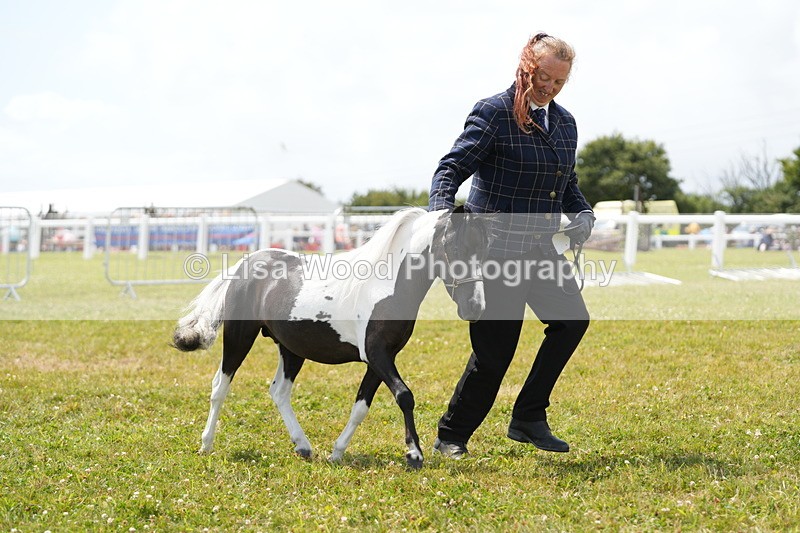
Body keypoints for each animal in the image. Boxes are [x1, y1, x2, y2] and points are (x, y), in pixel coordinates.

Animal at [172, 206, 491, 468]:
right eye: (454, 246)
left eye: (483, 248)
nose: (475, 307)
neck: (385, 285)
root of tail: (244, 265)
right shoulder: (377, 355)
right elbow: (405, 396)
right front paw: (414, 454)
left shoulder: (380, 359)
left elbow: (361, 407)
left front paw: (337, 452)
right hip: (239, 337)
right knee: (220, 386)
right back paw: (206, 444)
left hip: (291, 348)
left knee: (279, 392)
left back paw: (302, 446)